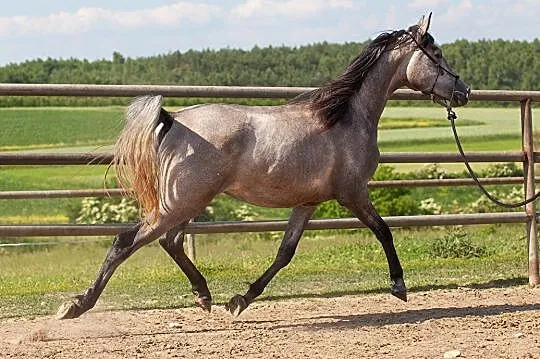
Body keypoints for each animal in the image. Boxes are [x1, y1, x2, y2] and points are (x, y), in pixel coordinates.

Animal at [59, 14, 468, 320]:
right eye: (436, 52)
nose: (463, 92)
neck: (343, 117)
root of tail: (173, 121)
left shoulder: (307, 203)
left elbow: (285, 253)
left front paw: (240, 299)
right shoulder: (352, 193)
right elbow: (384, 231)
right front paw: (399, 286)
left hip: (186, 202)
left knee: (170, 241)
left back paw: (204, 295)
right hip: (182, 202)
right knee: (127, 241)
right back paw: (77, 305)